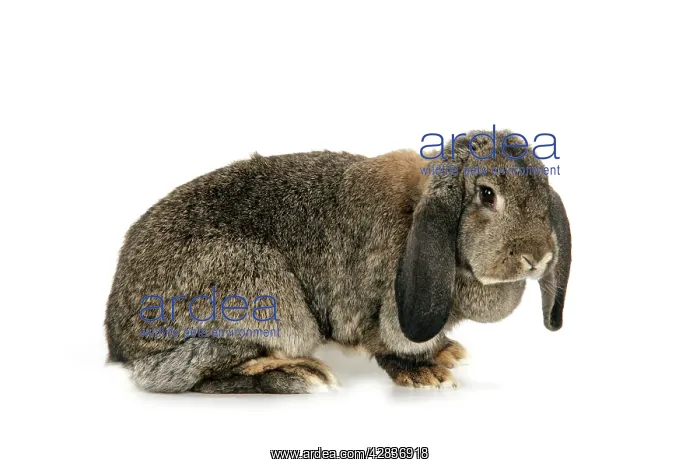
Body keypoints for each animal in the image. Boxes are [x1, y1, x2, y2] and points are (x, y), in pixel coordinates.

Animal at [104, 129, 571, 393]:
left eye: (542, 191)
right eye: (487, 194)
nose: (538, 258)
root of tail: (122, 346)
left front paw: (447, 353)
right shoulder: (387, 313)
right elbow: (389, 345)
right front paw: (425, 375)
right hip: (267, 299)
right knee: (188, 376)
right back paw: (300, 376)